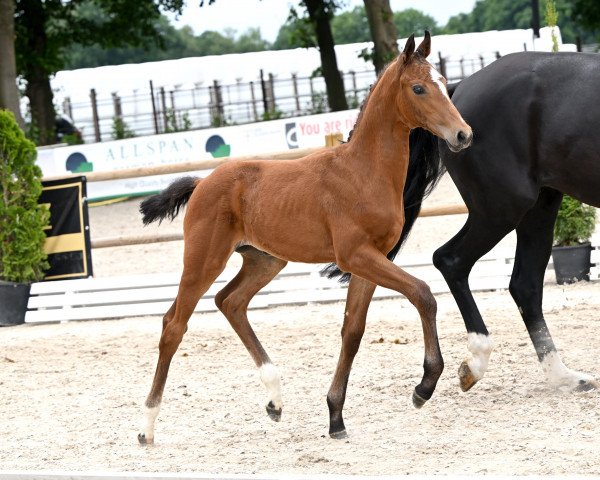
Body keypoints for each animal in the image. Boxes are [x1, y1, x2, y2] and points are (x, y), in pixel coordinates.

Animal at [136, 33, 474, 444]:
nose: (463, 134)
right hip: (204, 260)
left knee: (230, 302)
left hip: (265, 260)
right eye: (419, 88)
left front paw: (335, 417)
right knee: (174, 324)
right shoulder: (355, 256)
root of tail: (202, 182)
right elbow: (423, 294)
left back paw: (275, 399)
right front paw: (423, 387)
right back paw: (146, 427)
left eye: (444, 82)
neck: (363, 172)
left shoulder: (372, 260)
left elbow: (352, 331)